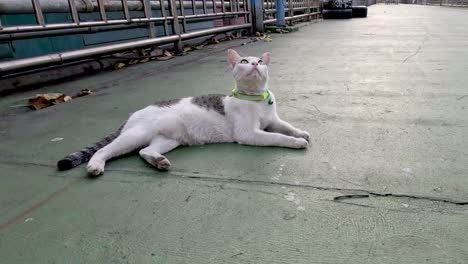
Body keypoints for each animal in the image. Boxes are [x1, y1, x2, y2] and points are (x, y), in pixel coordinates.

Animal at [56, 49, 308, 177]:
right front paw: (296, 142)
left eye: (261, 62)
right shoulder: (249, 134)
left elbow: (286, 126)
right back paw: (95, 165)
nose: (256, 64)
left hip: (168, 140)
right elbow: (278, 137)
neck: (256, 99)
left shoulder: (272, 120)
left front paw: (301, 133)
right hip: (135, 135)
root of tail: (133, 114)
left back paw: (158, 162)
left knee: (145, 151)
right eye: (245, 61)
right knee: (106, 150)